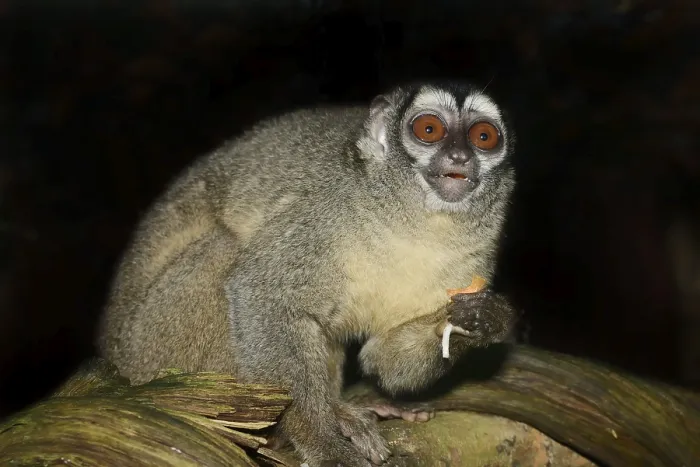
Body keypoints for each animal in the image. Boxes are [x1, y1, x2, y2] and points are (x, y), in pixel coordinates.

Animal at [98, 80, 519, 467]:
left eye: (484, 137)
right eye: (429, 129)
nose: (460, 155)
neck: (416, 220)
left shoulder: (476, 258)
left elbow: (382, 359)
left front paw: (481, 321)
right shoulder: (323, 213)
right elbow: (262, 292)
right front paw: (321, 440)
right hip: (151, 350)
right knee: (227, 251)